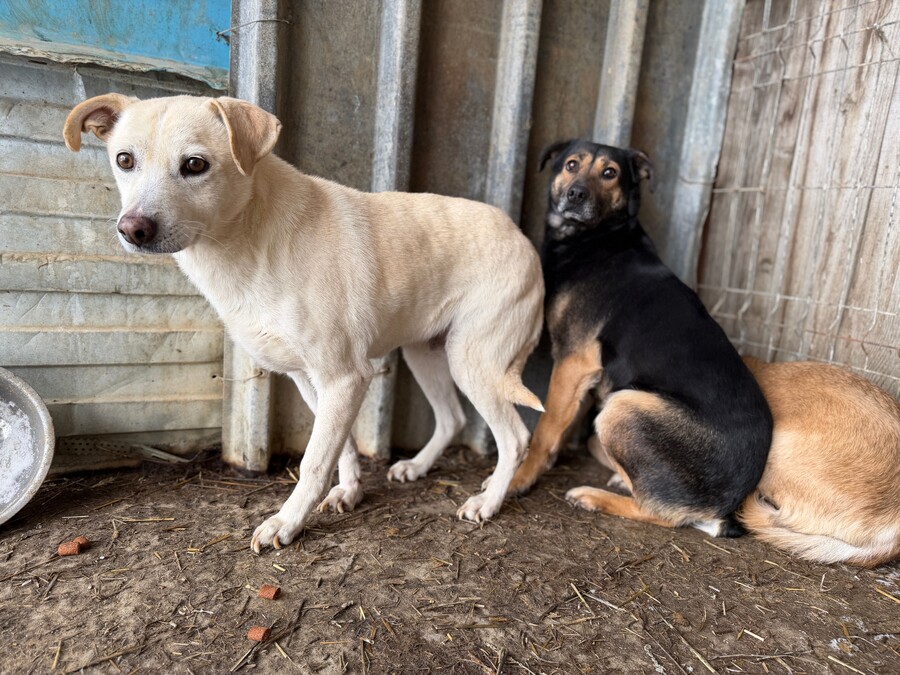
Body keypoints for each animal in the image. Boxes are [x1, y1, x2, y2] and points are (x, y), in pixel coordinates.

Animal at [64, 94, 544, 553]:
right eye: (125, 160)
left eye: (195, 165)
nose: (133, 229)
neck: (250, 239)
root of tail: (521, 236)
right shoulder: (308, 379)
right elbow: (341, 448)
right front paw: (349, 491)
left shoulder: (345, 378)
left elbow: (314, 461)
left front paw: (286, 523)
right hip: (426, 354)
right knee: (452, 419)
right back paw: (420, 466)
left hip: (473, 362)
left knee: (516, 437)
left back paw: (489, 500)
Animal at [507, 139, 772, 537]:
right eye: (571, 165)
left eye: (609, 173)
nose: (575, 194)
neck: (599, 237)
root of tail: (729, 505)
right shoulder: (582, 374)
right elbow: (566, 427)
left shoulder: (573, 361)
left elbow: (546, 429)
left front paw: (520, 477)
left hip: (622, 407)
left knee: (662, 512)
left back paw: (594, 496)